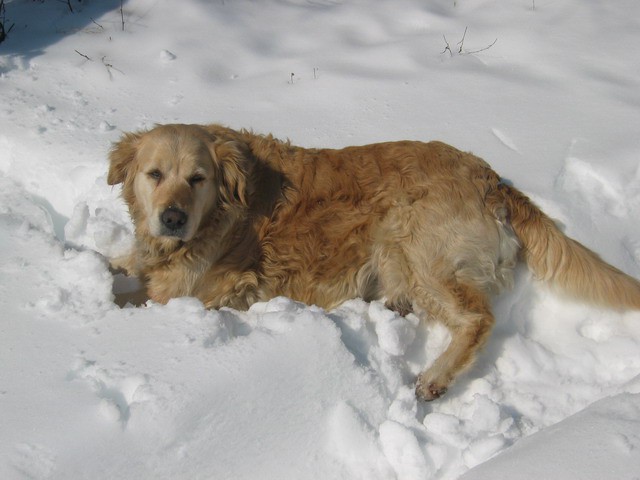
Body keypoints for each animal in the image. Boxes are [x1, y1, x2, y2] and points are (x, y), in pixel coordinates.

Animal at [107, 124, 640, 402]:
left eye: (197, 178)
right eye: (154, 174)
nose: (172, 218)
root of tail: (493, 180)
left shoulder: (187, 291)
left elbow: (140, 297)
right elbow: (119, 263)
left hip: (417, 245)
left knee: (477, 318)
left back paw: (435, 376)